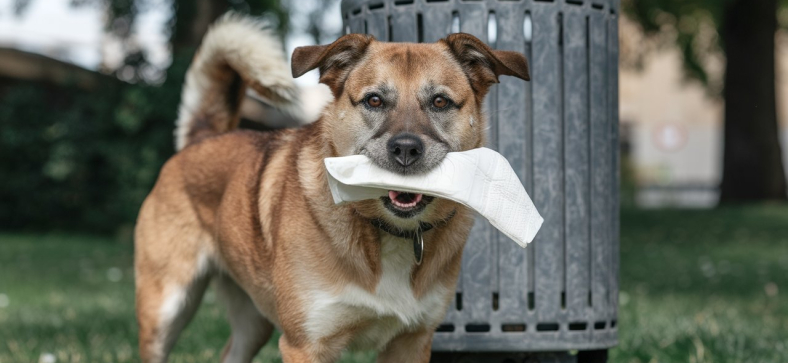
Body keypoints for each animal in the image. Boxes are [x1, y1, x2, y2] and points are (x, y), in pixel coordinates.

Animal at [135, 13, 528, 363]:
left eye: (440, 102)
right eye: (374, 100)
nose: (405, 149)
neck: (387, 234)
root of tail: (200, 140)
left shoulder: (411, 342)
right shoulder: (306, 344)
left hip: (254, 320)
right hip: (166, 311)